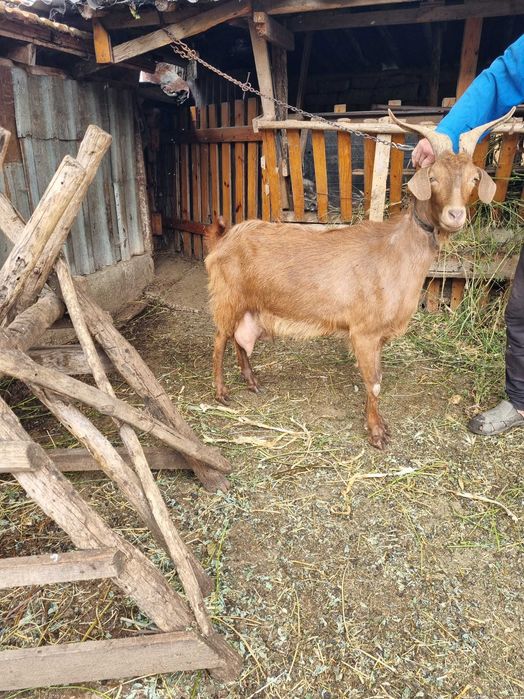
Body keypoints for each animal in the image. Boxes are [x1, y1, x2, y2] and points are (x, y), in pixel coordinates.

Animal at [204, 109, 515, 449]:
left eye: (473, 179)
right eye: (433, 178)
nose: (455, 215)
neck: (396, 251)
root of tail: (222, 239)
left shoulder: (378, 335)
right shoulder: (364, 331)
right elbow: (374, 382)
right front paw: (377, 432)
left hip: (249, 303)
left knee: (239, 338)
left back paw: (252, 381)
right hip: (227, 295)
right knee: (220, 339)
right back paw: (221, 392)